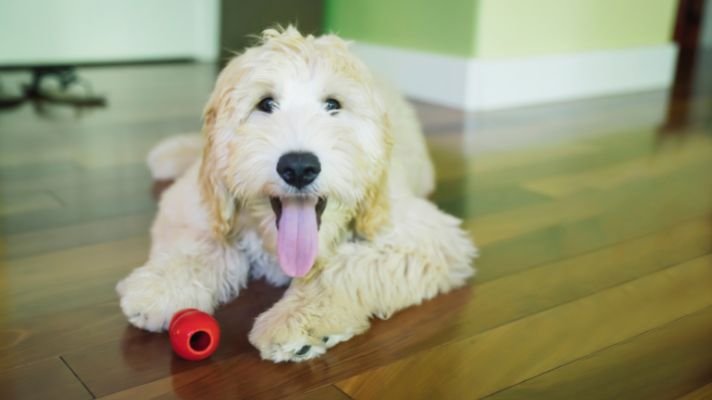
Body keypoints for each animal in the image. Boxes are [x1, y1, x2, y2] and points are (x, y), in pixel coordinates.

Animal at [117, 26, 476, 360]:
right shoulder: (191, 202)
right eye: (265, 104)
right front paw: (162, 286)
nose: (299, 167)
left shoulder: (426, 238)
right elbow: (201, 240)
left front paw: (296, 320)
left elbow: (344, 269)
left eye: (333, 105)